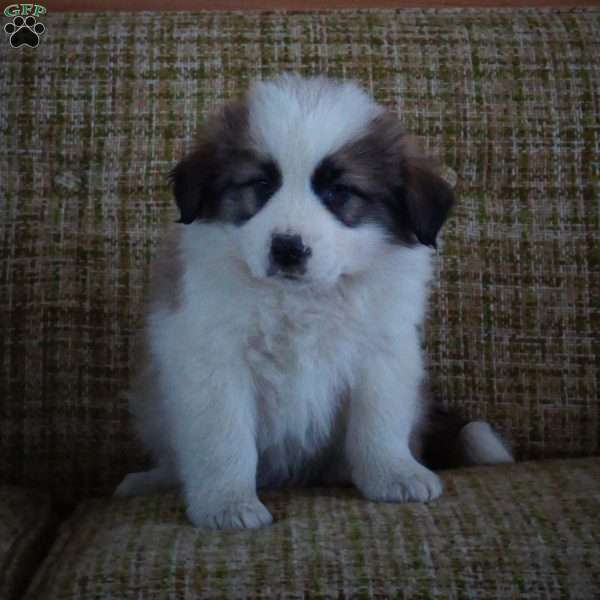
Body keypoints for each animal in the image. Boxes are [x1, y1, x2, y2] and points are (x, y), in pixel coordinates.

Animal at [115, 72, 512, 528]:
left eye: (338, 191)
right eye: (261, 184)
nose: (287, 248)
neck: (301, 299)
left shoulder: (382, 354)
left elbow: (379, 421)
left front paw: (393, 473)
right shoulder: (213, 359)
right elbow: (223, 438)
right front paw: (227, 503)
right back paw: (152, 480)